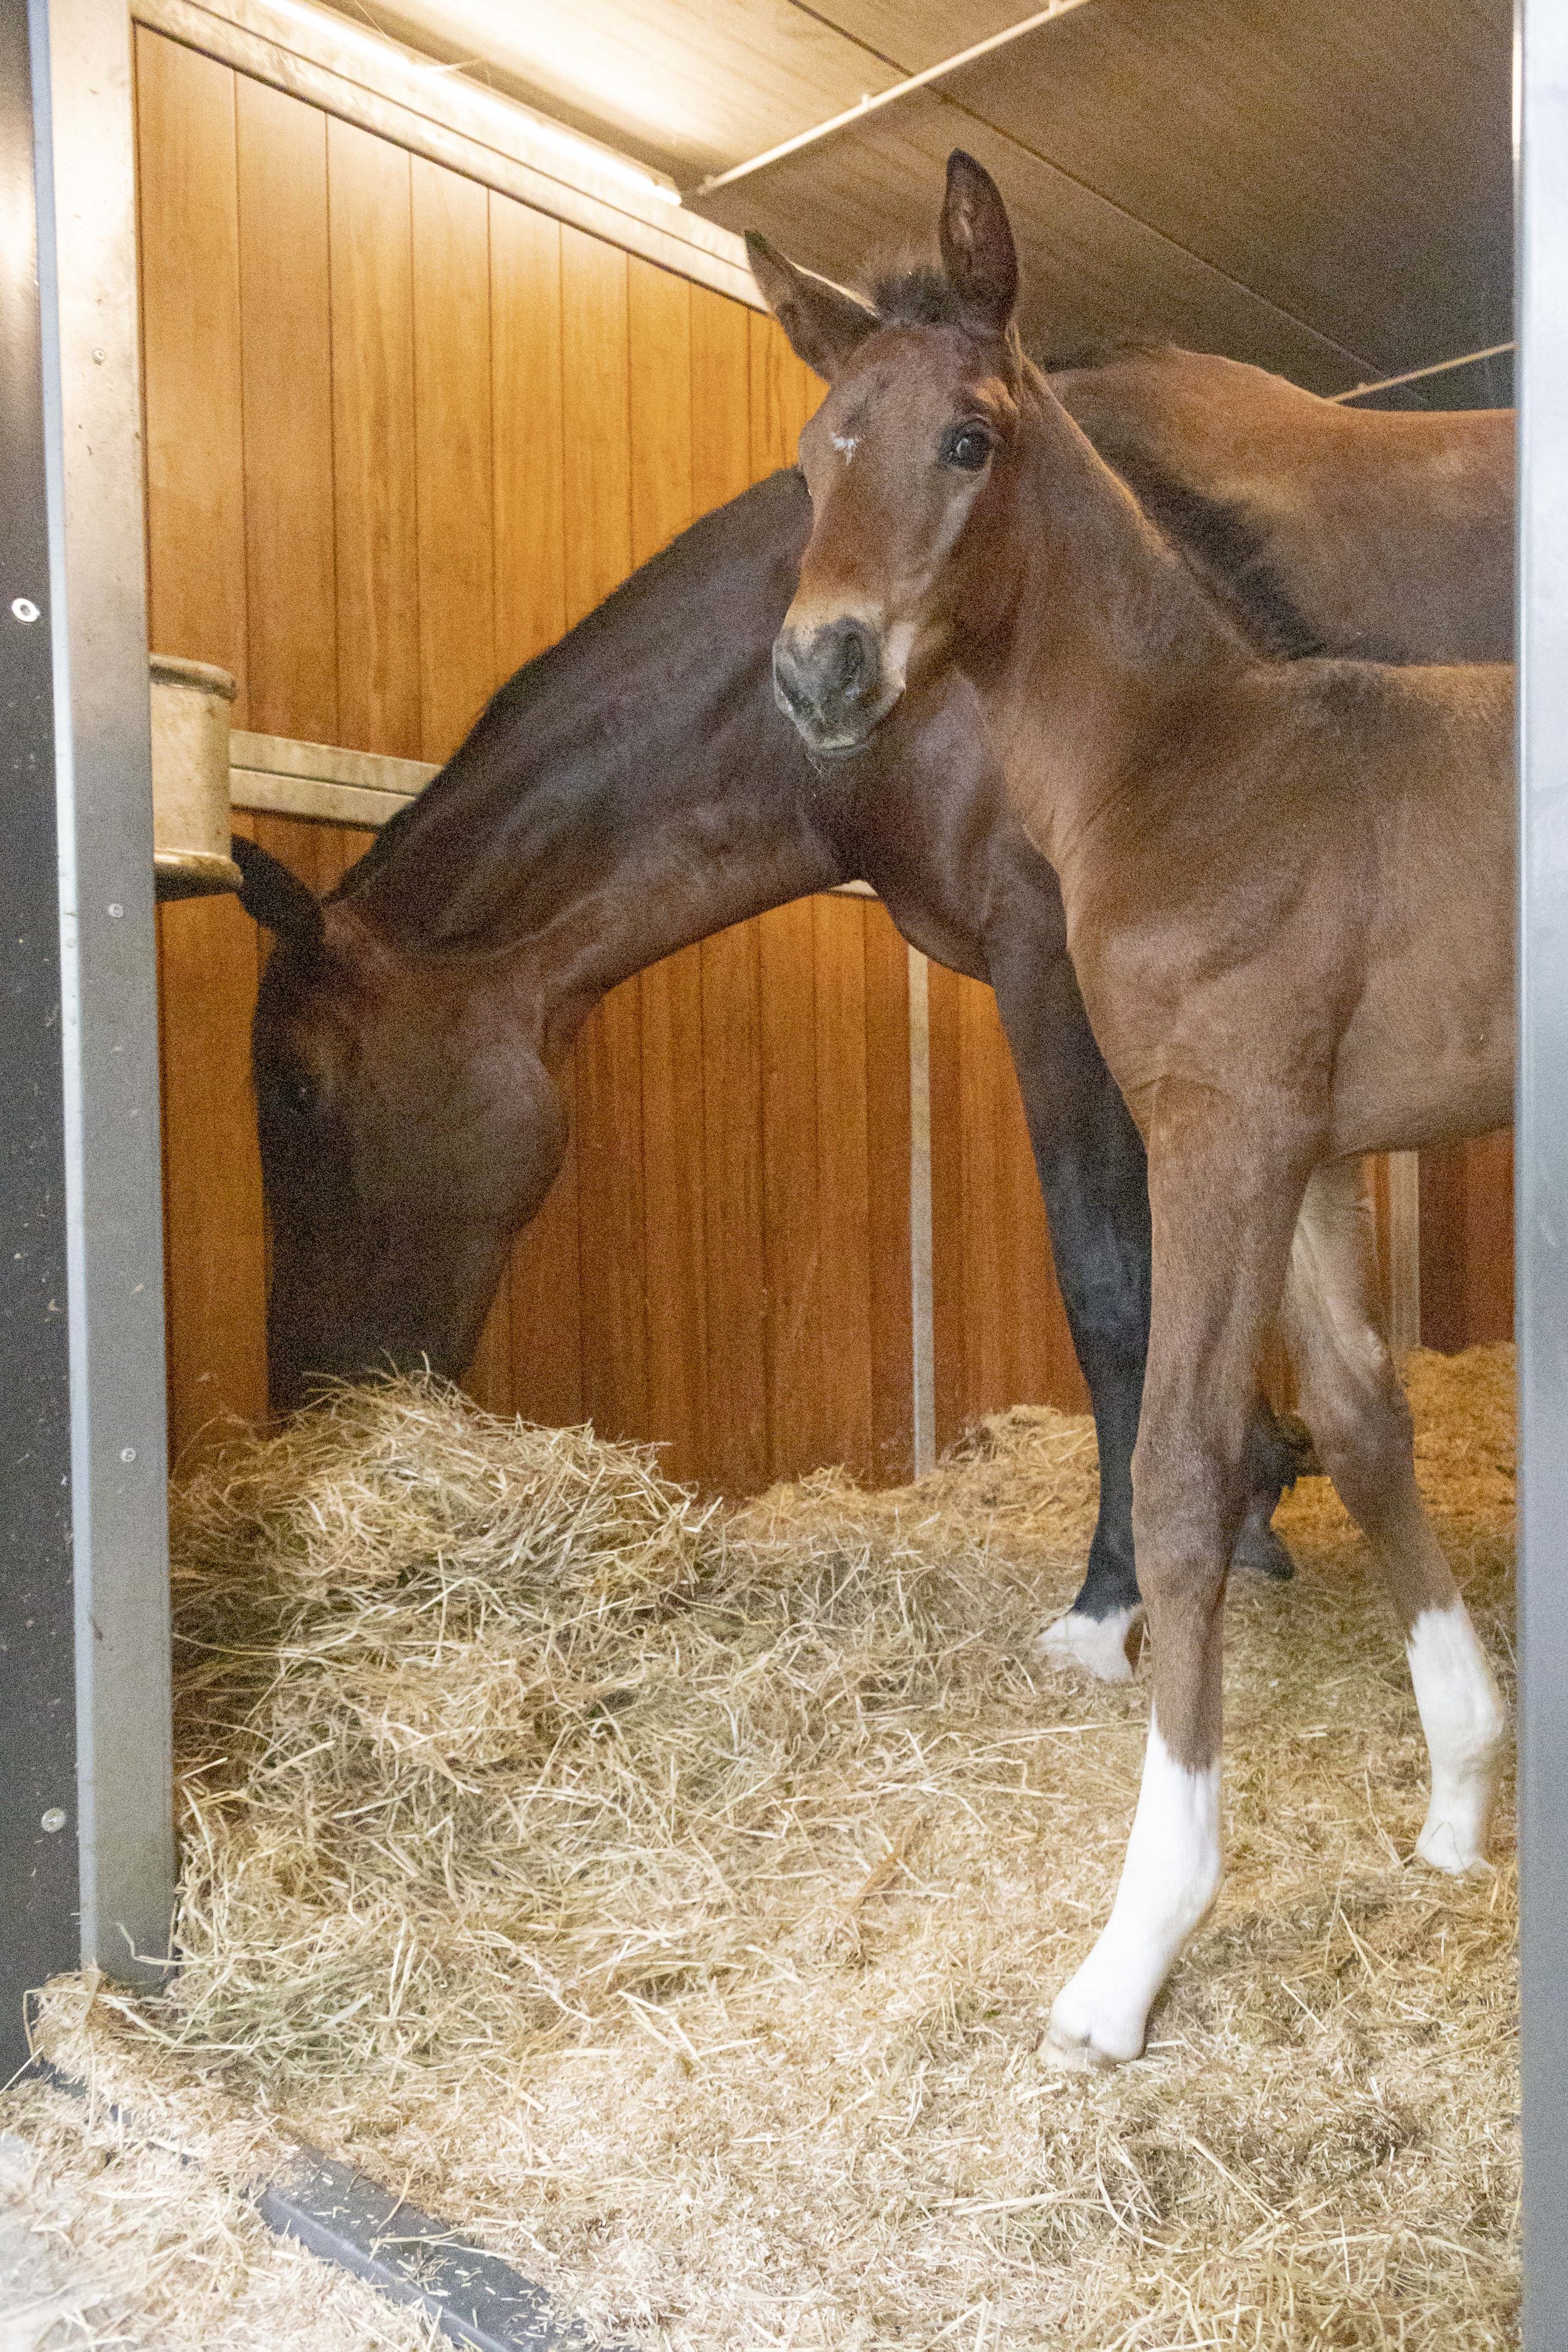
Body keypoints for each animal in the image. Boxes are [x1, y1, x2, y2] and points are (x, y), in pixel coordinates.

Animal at [240, 343, 1513, 1693]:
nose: (312, 1404)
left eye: (301, 1089)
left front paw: (1111, 1594)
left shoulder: (1055, 967)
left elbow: (1108, 1280)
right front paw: (1254, 1501)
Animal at [752, 161, 1513, 2079]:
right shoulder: (1306, 1150)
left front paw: (1133, 1943)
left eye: (967, 437)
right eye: (811, 453)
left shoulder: (1215, 1135)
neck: (1196, 766)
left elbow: (1182, 1472)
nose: (818, 672)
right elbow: (1363, 1418)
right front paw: (1460, 1794)